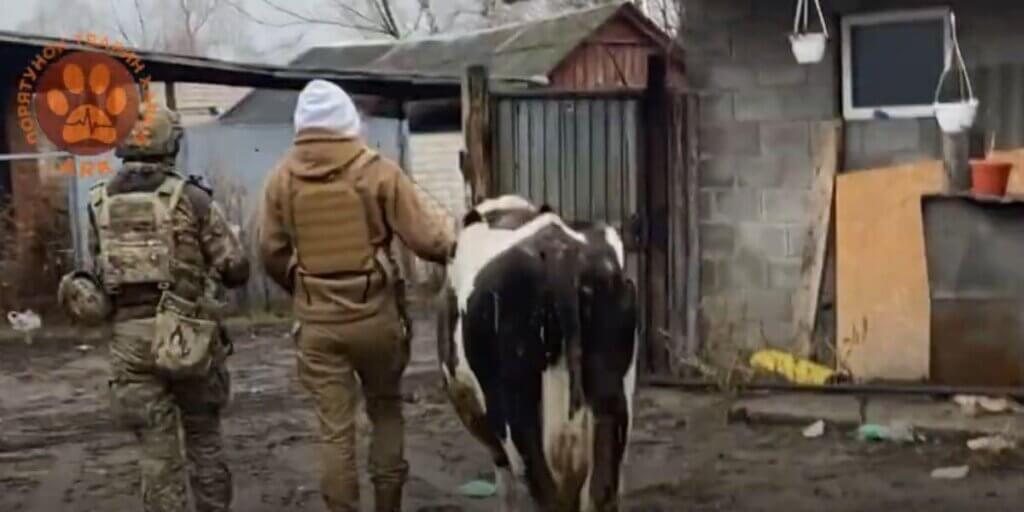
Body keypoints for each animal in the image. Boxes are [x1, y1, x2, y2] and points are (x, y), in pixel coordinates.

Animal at [436, 193, 634, 509]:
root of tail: (559, 252)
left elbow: (504, 481)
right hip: (612, 396)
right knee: (601, 489)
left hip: (515, 405)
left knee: (542, 488)